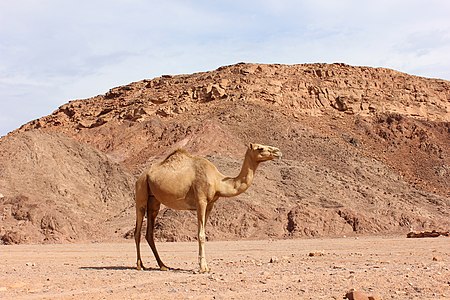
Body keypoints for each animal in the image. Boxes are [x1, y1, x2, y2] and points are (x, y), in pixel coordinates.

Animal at [134, 143, 282, 272]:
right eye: (260, 148)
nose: (278, 152)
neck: (218, 182)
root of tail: (142, 175)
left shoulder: (210, 204)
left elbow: (204, 233)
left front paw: (203, 265)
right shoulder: (201, 201)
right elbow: (200, 235)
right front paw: (203, 268)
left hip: (154, 200)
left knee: (149, 232)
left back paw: (163, 265)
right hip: (141, 191)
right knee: (137, 229)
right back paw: (140, 265)